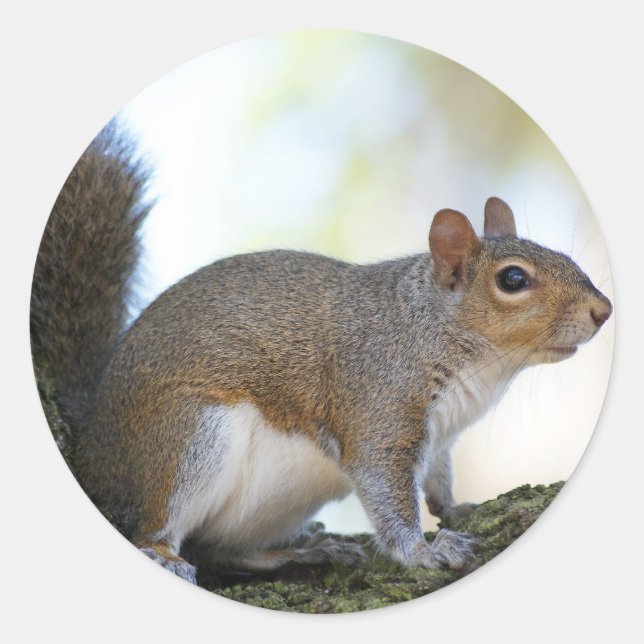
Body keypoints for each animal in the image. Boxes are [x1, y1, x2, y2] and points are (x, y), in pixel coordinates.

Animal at [31, 121, 612, 585]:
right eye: (513, 280)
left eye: (562, 255)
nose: (603, 310)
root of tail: (95, 447)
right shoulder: (380, 401)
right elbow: (383, 484)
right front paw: (422, 552)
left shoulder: (442, 436)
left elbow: (439, 481)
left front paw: (457, 509)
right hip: (185, 441)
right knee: (157, 527)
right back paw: (166, 551)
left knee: (220, 548)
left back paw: (305, 552)